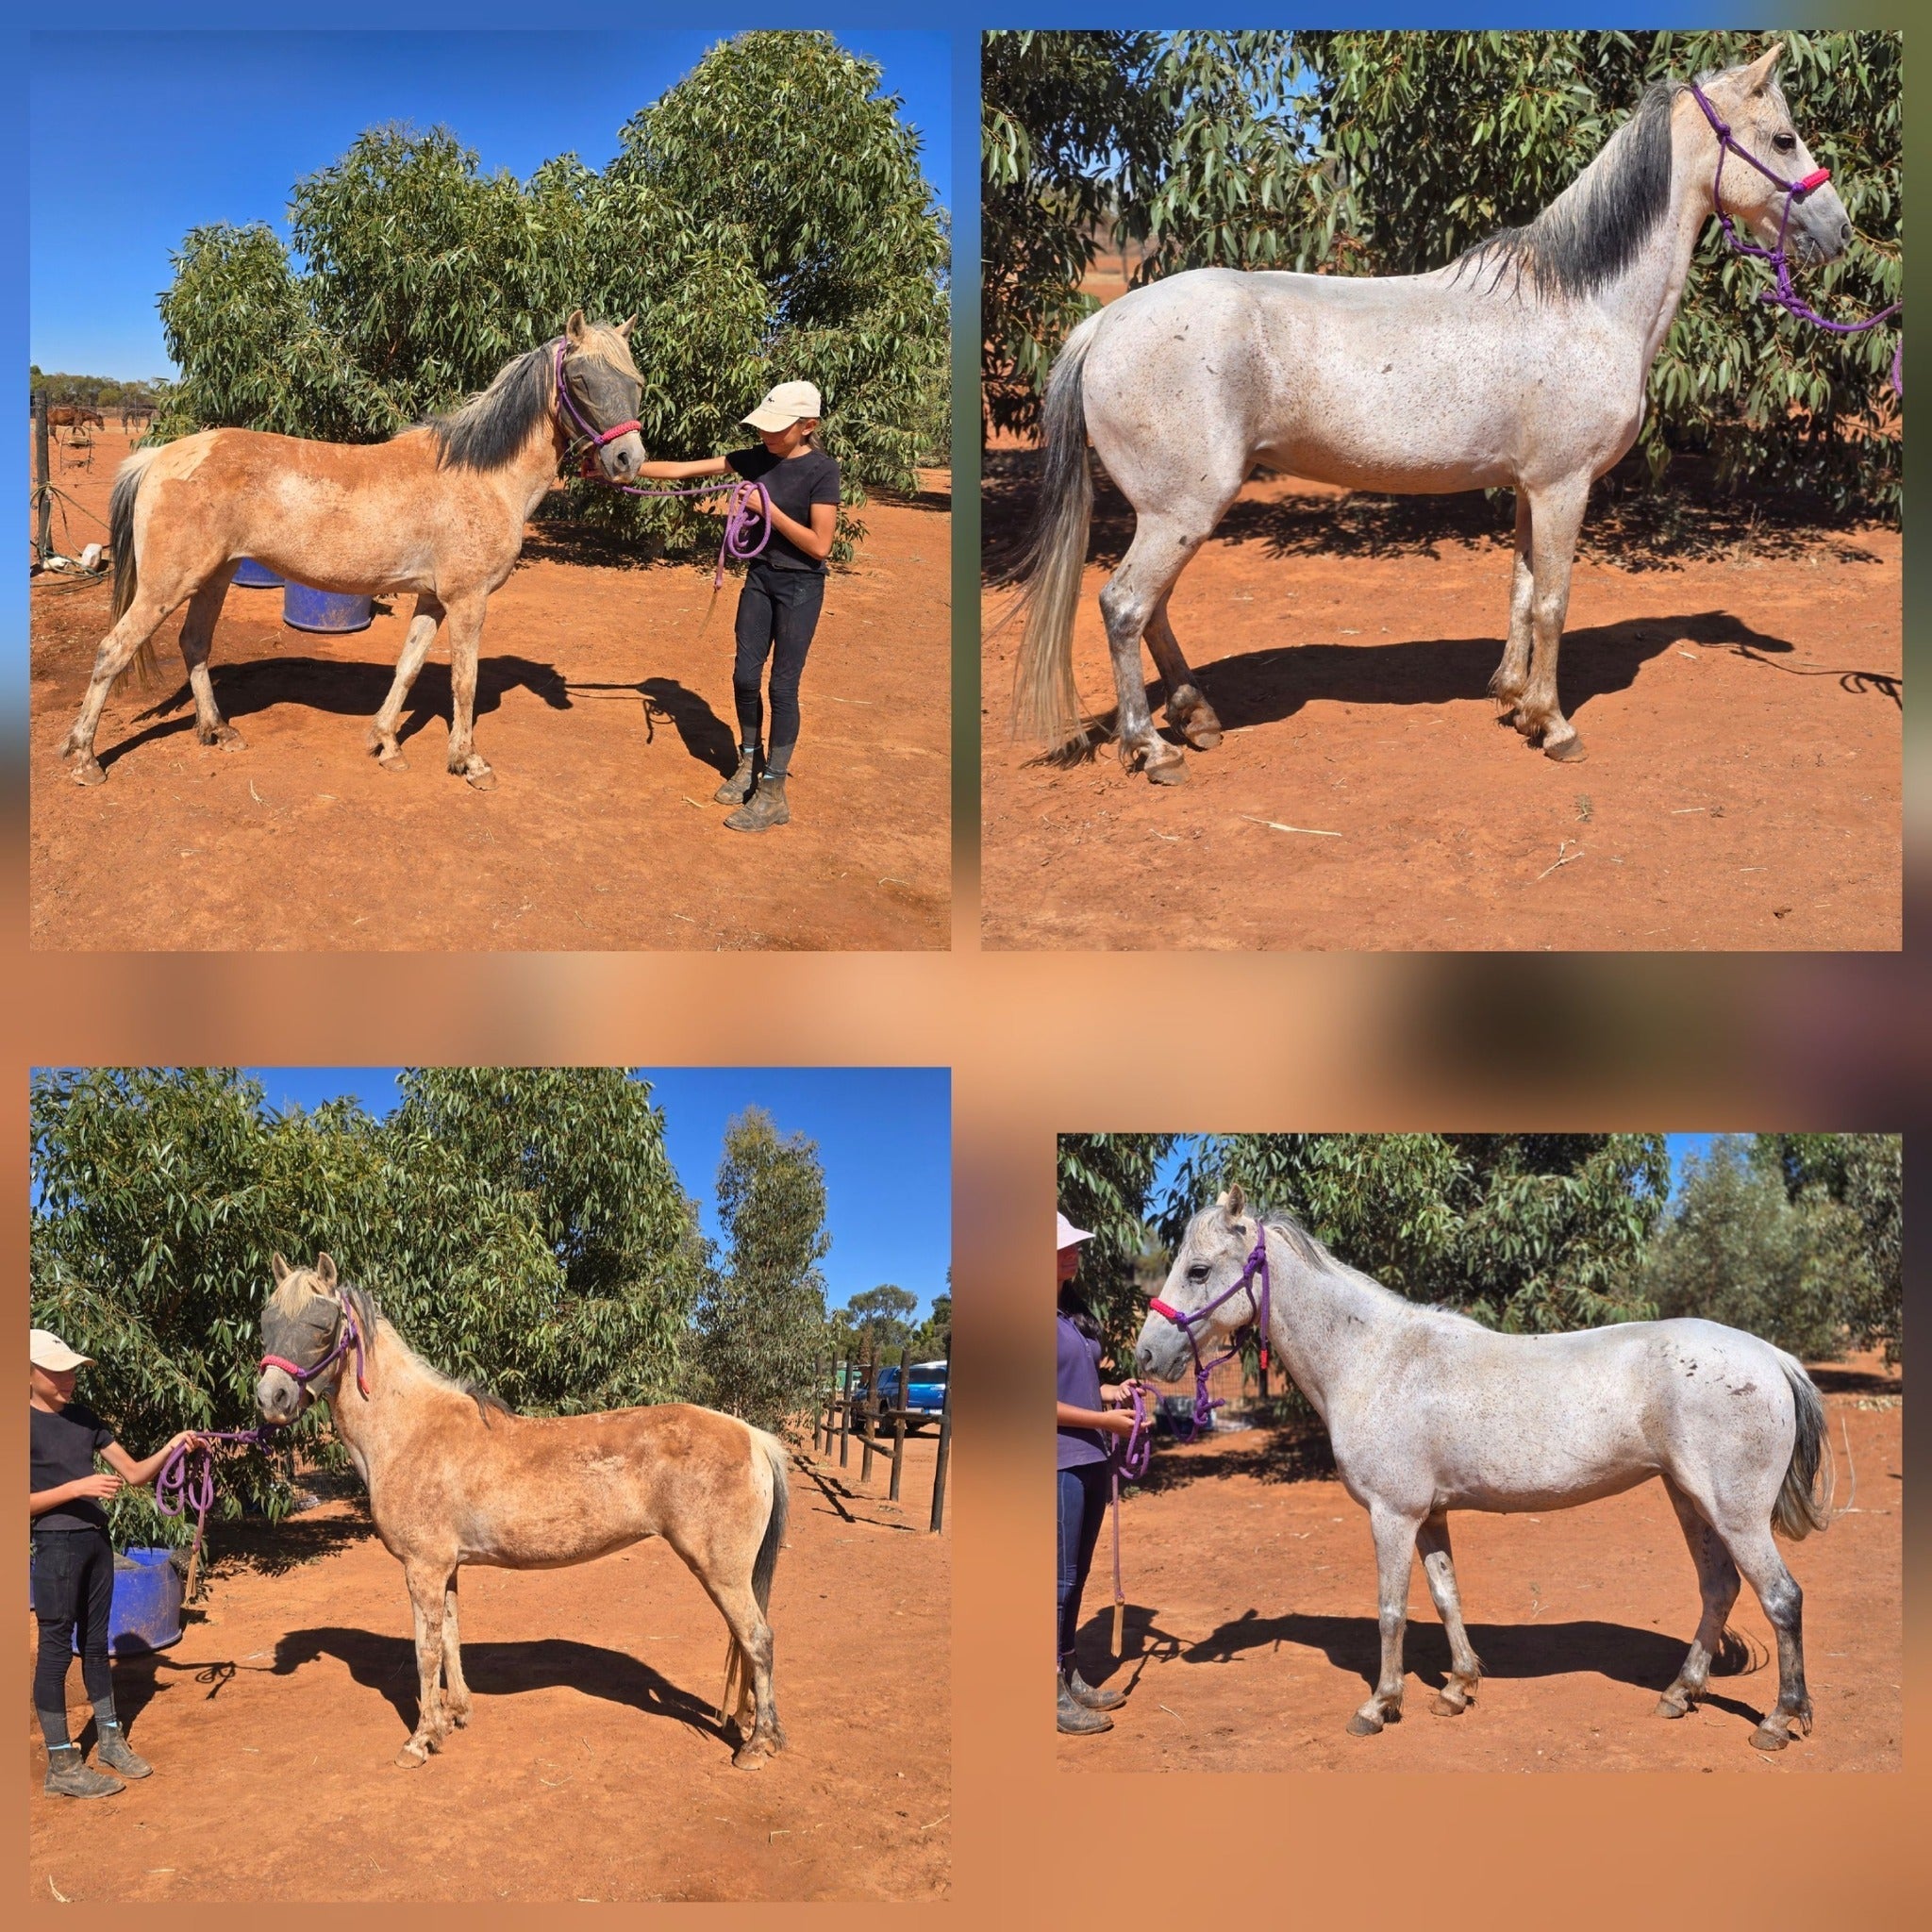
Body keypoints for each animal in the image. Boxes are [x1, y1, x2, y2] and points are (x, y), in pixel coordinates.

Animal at [58, 310, 646, 789]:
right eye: (580, 379)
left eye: (636, 381)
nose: (628, 459)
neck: (482, 476)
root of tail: (158, 457)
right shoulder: (467, 600)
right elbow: (464, 680)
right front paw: (468, 762)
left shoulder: (432, 599)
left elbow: (409, 667)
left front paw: (385, 743)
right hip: (167, 585)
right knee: (113, 651)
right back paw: (86, 758)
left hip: (215, 577)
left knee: (195, 645)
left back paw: (218, 731)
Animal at [255, 1253, 790, 1770]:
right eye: (266, 1321)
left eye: (323, 1326)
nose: (270, 1399)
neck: (410, 1431)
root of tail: (755, 1437)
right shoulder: (447, 1568)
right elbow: (450, 1638)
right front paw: (456, 1716)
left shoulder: (422, 1568)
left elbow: (425, 1651)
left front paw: (420, 1740)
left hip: (722, 1572)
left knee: (759, 1640)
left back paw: (757, 1745)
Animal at [1009, 46, 1856, 782]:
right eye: (1782, 137)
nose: (1841, 231)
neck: (1585, 304)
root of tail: (1103, 323)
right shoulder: (1564, 485)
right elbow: (1554, 603)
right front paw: (1556, 728)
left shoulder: (1529, 488)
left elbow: (1520, 593)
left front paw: (1514, 703)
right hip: (1183, 506)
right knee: (1124, 606)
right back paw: (1153, 749)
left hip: (1171, 511)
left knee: (1151, 609)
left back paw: (1197, 719)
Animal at [1135, 1187, 1832, 1752]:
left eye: (1198, 1269)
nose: (1145, 1355)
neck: (1373, 1358)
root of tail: (1772, 1357)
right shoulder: (1429, 1515)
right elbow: (1447, 1595)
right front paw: (1458, 1689)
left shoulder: (1393, 1515)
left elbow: (1391, 1608)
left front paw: (1379, 1705)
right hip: (1690, 1500)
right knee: (1719, 1590)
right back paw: (1679, 1695)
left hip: (1736, 1514)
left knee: (1782, 1597)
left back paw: (1778, 1722)